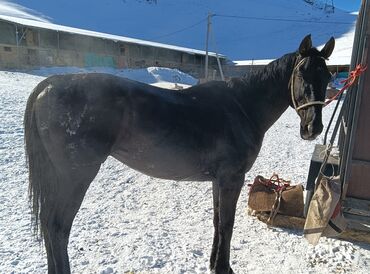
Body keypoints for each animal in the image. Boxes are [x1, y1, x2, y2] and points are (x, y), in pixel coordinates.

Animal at [23, 34, 336, 274]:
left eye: (327, 76)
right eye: (301, 73)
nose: (313, 128)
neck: (242, 107)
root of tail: (48, 85)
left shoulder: (218, 181)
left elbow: (217, 221)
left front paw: (213, 264)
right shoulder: (232, 179)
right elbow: (227, 224)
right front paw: (223, 268)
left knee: (50, 226)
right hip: (75, 177)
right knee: (57, 227)